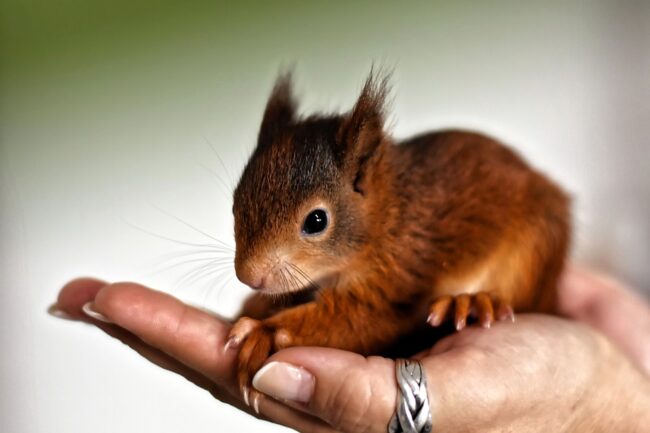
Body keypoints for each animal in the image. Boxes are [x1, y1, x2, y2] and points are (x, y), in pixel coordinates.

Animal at [226, 71, 571, 402]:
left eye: (317, 220)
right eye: (235, 201)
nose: (248, 277)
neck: (388, 217)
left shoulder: (397, 276)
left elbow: (360, 320)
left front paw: (262, 333)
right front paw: (257, 306)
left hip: (532, 253)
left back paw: (471, 303)